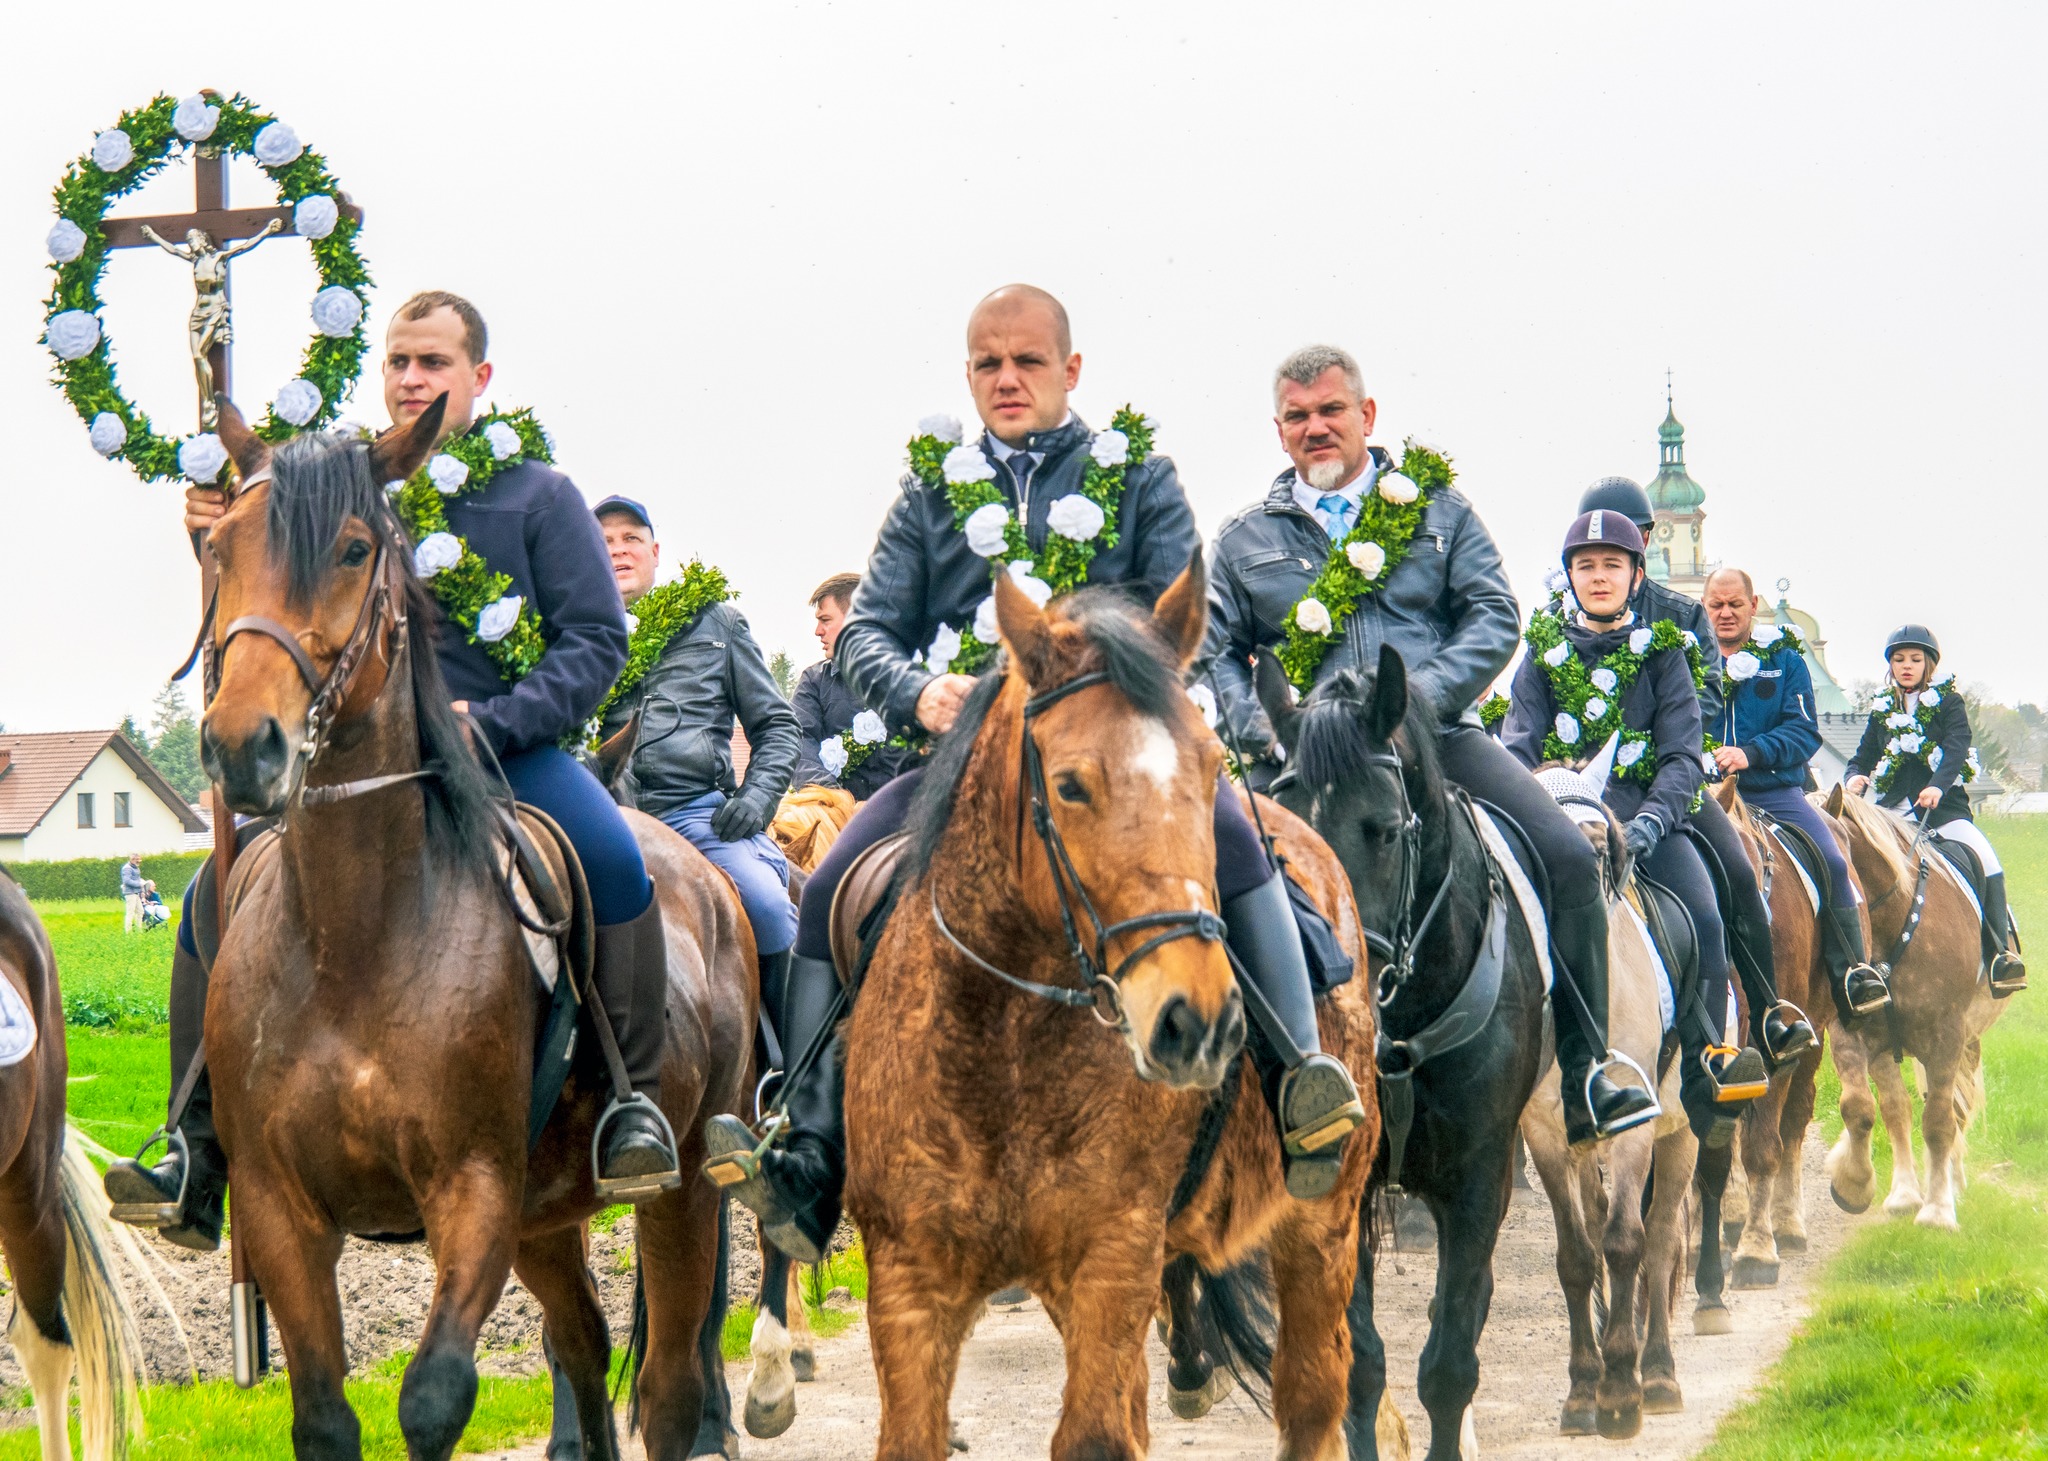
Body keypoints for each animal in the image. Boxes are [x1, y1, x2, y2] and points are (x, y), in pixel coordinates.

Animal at [190, 401, 753, 1458]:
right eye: (218, 545)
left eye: (354, 548)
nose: (243, 746)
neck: (353, 941)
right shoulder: (282, 1210)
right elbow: (324, 1416)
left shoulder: (474, 1188)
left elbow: (434, 1395)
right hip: (548, 1217)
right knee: (582, 1341)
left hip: (686, 1187)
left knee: (667, 1384)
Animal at [831, 561, 1376, 1458]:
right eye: (1069, 784)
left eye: (1212, 768)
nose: (1196, 1021)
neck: (1005, 1054)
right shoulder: (911, 1279)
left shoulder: (1112, 1259)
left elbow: (1094, 1435)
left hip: (1321, 1226)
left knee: (1313, 1397)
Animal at [1245, 651, 1548, 1458]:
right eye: (1279, 842)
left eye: (1381, 831)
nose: (1329, 997)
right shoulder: (1332, 1189)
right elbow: (1360, 1365)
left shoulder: (1478, 1183)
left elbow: (1448, 1364)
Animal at [1826, 790, 1998, 1221]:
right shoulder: (1857, 1035)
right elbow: (1865, 1107)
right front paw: (1859, 1185)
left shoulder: (1947, 1035)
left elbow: (1939, 1120)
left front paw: (1938, 1210)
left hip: (1964, 1037)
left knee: (1954, 1108)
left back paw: (1951, 1185)